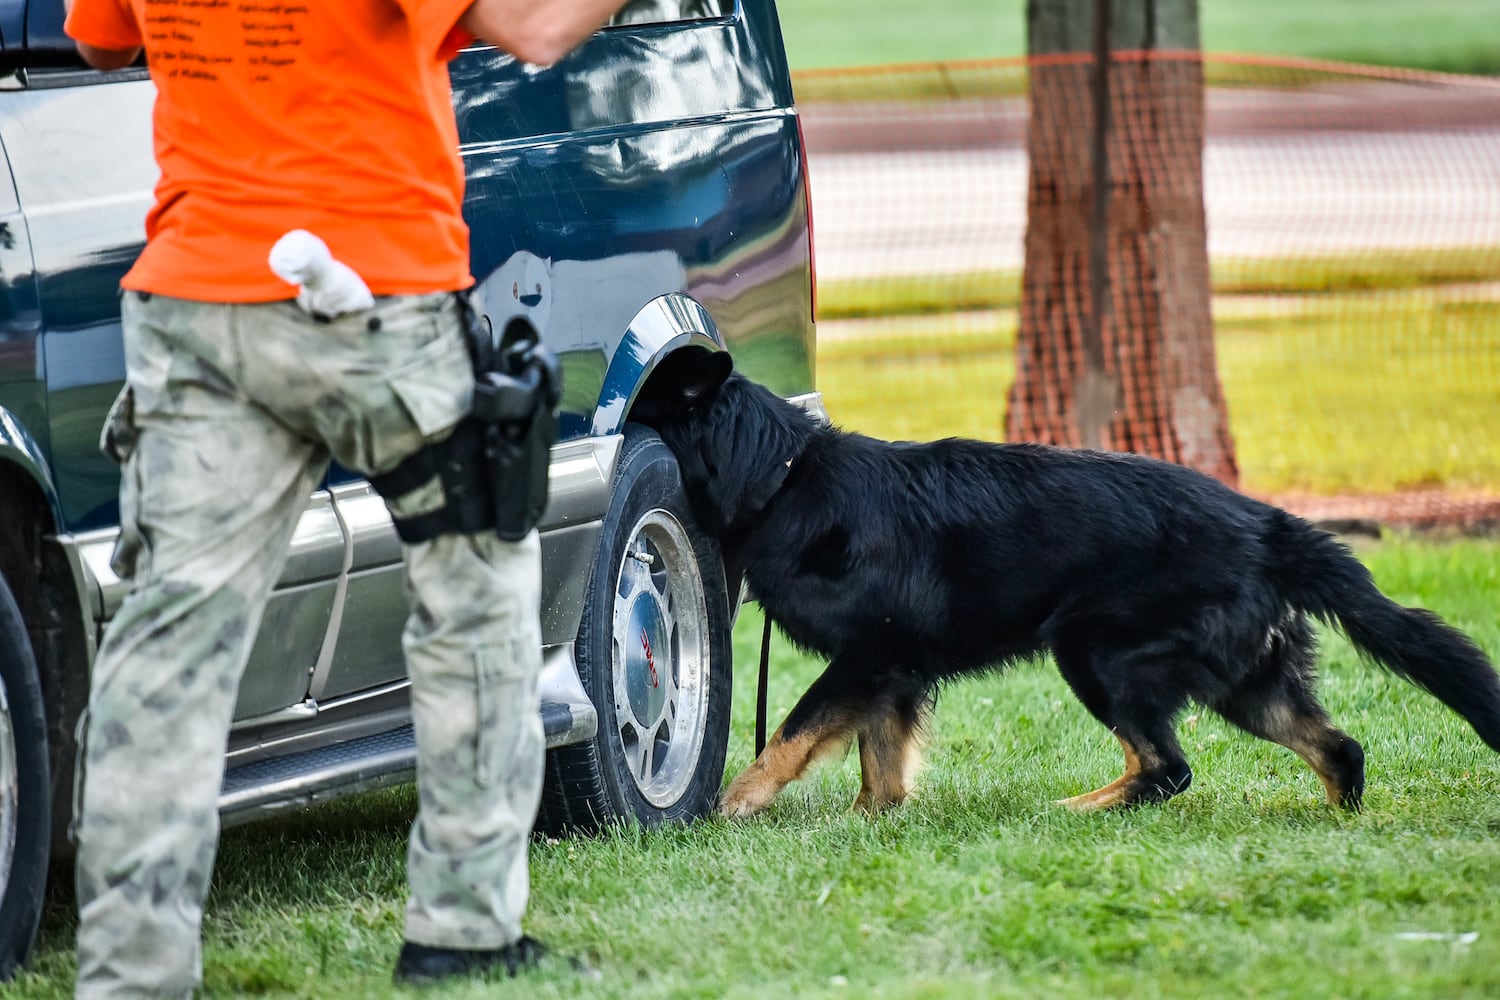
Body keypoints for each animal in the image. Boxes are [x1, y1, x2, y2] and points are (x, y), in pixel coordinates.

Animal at [630, 347, 1500, 815]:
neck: (782, 475)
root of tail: (1266, 524)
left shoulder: (868, 658)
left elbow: (792, 732)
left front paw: (737, 801)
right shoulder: (892, 672)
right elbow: (880, 759)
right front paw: (874, 820)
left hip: (1093, 655)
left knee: (1166, 768)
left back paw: (1073, 809)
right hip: (1247, 681)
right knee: (1337, 749)